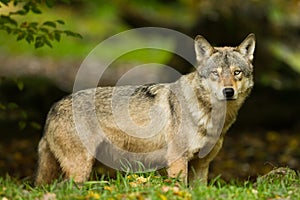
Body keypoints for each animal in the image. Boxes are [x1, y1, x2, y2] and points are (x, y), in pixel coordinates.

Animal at [35, 33, 255, 186]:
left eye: (237, 72)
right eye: (215, 74)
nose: (228, 91)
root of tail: (53, 107)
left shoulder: (202, 165)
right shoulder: (177, 161)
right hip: (80, 169)